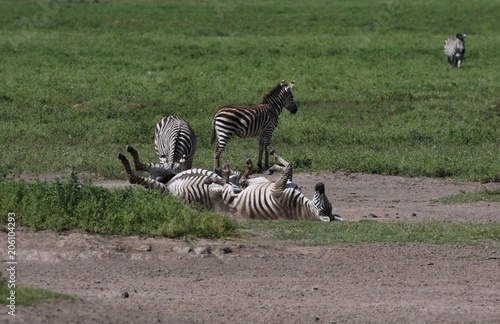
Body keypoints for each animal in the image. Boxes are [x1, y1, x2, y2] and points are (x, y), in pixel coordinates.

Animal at [205, 146, 342, 221]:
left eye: (323, 205)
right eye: (327, 202)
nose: (320, 185)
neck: (303, 205)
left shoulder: (277, 188)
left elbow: (289, 167)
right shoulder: (287, 182)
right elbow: (289, 167)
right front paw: (273, 165)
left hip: (230, 193)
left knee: (228, 182)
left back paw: (219, 173)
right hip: (249, 183)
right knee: (238, 178)